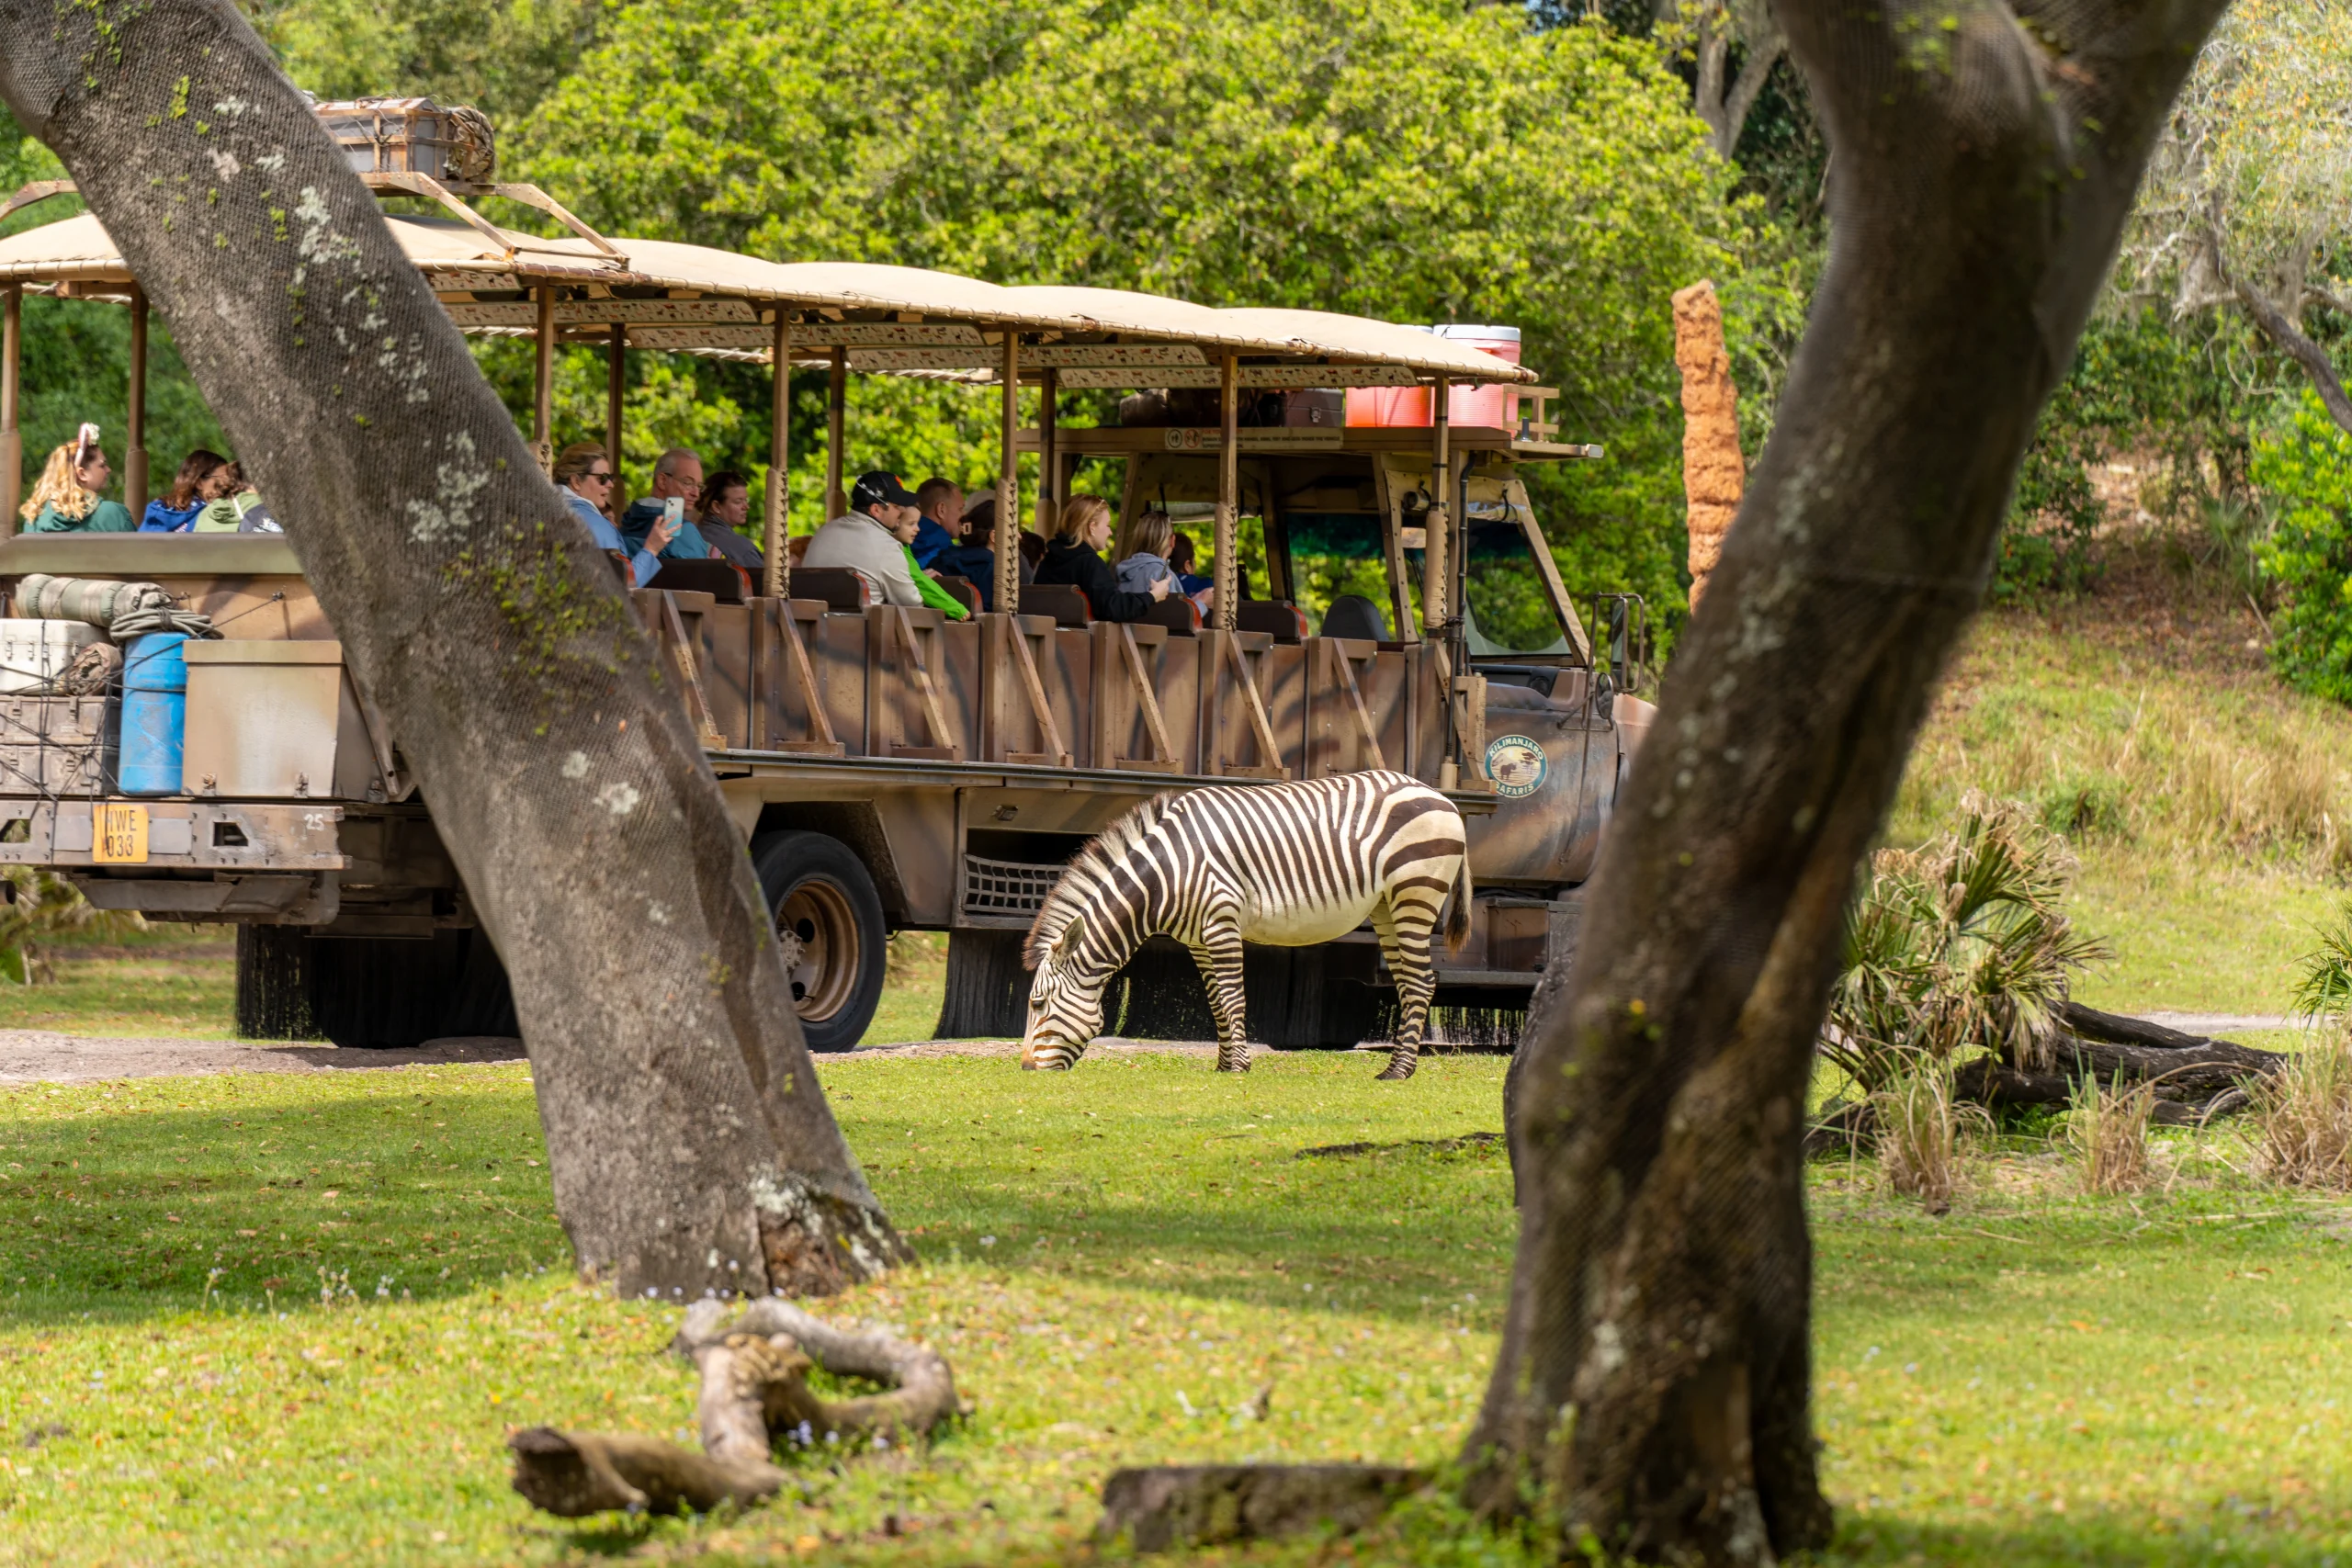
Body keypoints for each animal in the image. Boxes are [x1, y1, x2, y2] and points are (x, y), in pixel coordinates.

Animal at [1019, 770, 1471, 1080]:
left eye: (1037, 1004)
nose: (1024, 1069)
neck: (1165, 875)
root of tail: (1437, 794)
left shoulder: (1221, 922)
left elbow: (1233, 998)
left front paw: (1239, 1067)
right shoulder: (1197, 940)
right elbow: (1216, 1002)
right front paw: (1224, 1065)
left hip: (1415, 892)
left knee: (1420, 982)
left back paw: (1399, 1071)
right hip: (1385, 907)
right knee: (1409, 982)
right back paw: (1398, 1065)